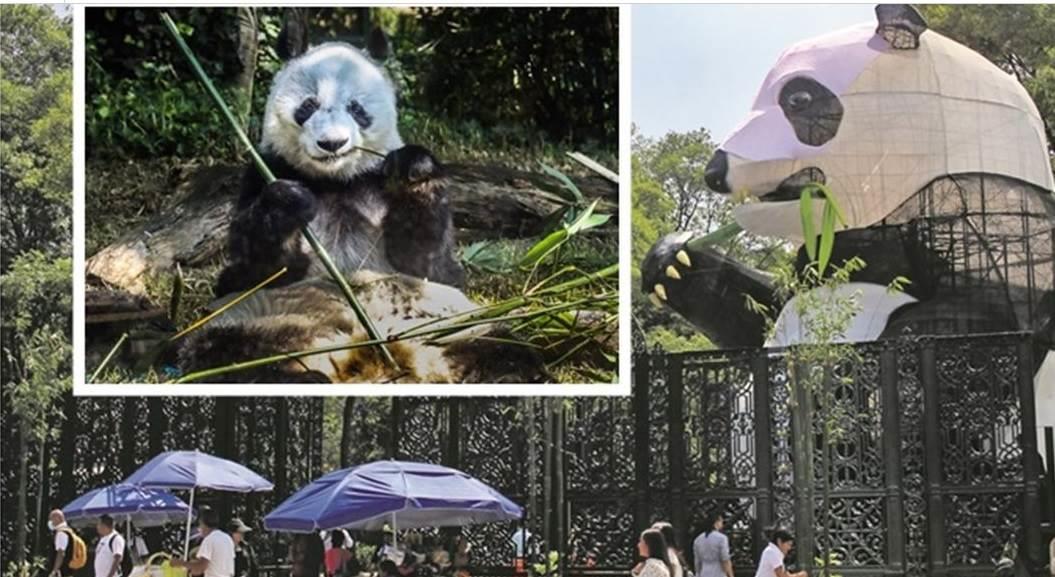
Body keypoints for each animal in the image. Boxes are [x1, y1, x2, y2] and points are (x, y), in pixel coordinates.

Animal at [174, 41, 544, 383]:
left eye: (355, 108)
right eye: (308, 106)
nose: (332, 144)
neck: (337, 180)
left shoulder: (377, 183)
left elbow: (434, 267)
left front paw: (414, 170)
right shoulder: (264, 170)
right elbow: (247, 273)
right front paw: (289, 203)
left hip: (457, 324)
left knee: (509, 350)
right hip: (258, 318)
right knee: (217, 353)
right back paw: (299, 378)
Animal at [643, 5, 1055, 361]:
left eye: (799, 98)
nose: (714, 171)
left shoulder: (979, 204)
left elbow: (983, 320)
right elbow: (756, 311)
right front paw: (672, 260)